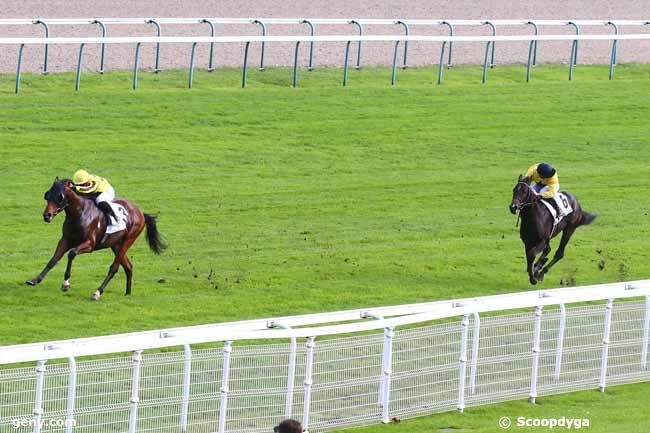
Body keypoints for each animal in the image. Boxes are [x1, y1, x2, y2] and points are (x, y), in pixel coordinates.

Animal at [26, 177, 166, 298]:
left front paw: (66, 284)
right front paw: (35, 280)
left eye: (60, 197)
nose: (47, 215)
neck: (79, 213)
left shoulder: (90, 244)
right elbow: (53, 260)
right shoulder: (65, 240)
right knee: (128, 266)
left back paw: (97, 292)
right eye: (47, 195)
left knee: (114, 268)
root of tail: (140, 212)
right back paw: (127, 293)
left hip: (128, 240)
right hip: (116, 244)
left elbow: (71, 253)